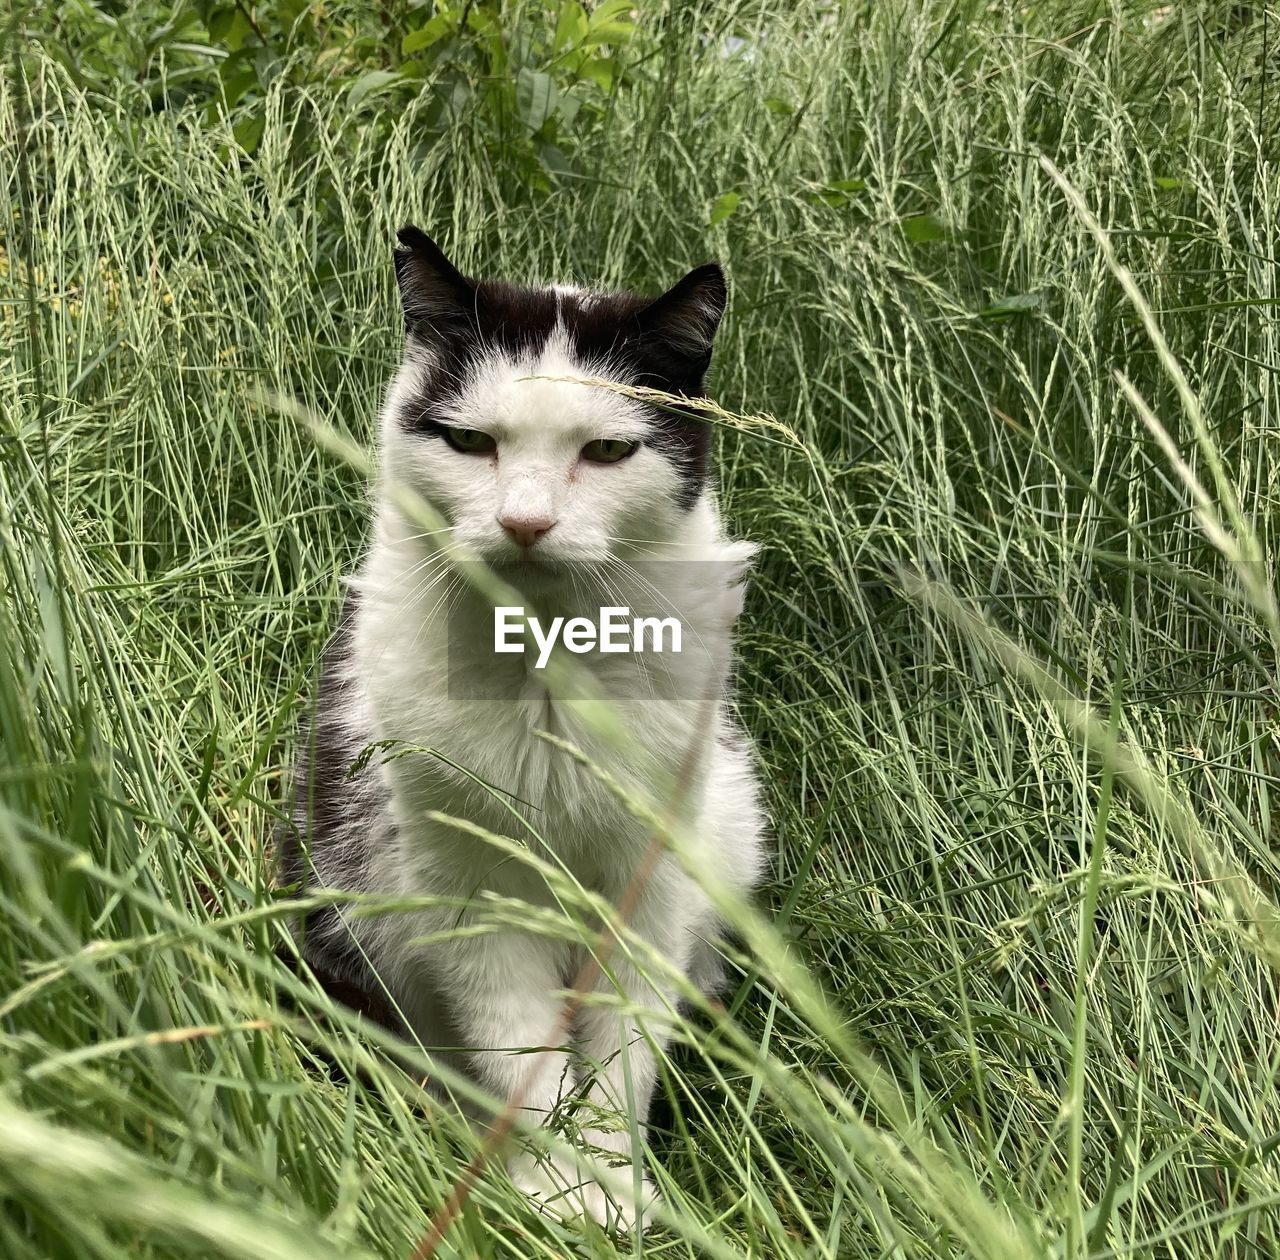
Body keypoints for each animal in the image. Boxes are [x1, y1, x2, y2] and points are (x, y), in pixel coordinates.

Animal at [281, 226, 768, 1229]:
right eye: (471, 442)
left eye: (609, 450)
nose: (527, 521)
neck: (545, 657)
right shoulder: (472, 896)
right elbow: (523, 1063)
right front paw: (552, 1197)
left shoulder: (646, 891)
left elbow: (619, 1066)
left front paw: (614, 1194)